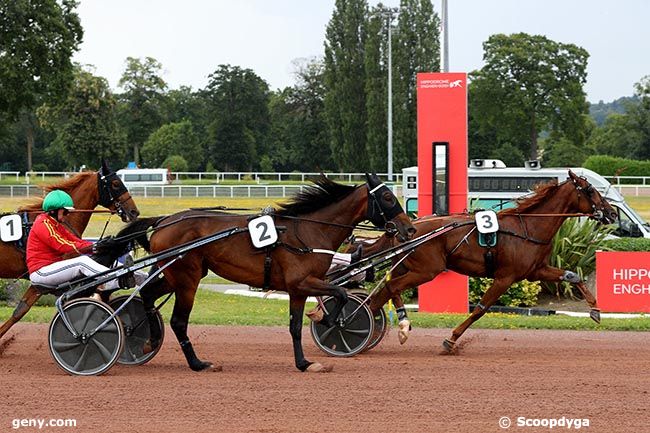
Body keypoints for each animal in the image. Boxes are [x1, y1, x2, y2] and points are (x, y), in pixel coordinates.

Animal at [118, 175, 412, 372]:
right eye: (387, 197)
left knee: (147, 294)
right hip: (186, 279)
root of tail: (163, 221)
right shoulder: (303, 283)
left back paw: (148, 340)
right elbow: (339, 292)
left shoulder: (298, 290)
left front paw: (304, 362)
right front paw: (330, 320)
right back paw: (197, 363)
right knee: (178, 321)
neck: (308, 231)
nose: (408, 228)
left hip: (176, 276)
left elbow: (295, 326)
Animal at [368, 169, 616, 352]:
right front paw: (451, 340)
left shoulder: (536, 270)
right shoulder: (505, 277)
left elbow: (573, 276)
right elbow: (480, 309)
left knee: (386, 289)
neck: (528, 228)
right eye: (590, 190)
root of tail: (406, 228)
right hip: (426, 270)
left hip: (408, 267)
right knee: (390, 287)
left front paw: (595, 309)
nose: (612, 213)